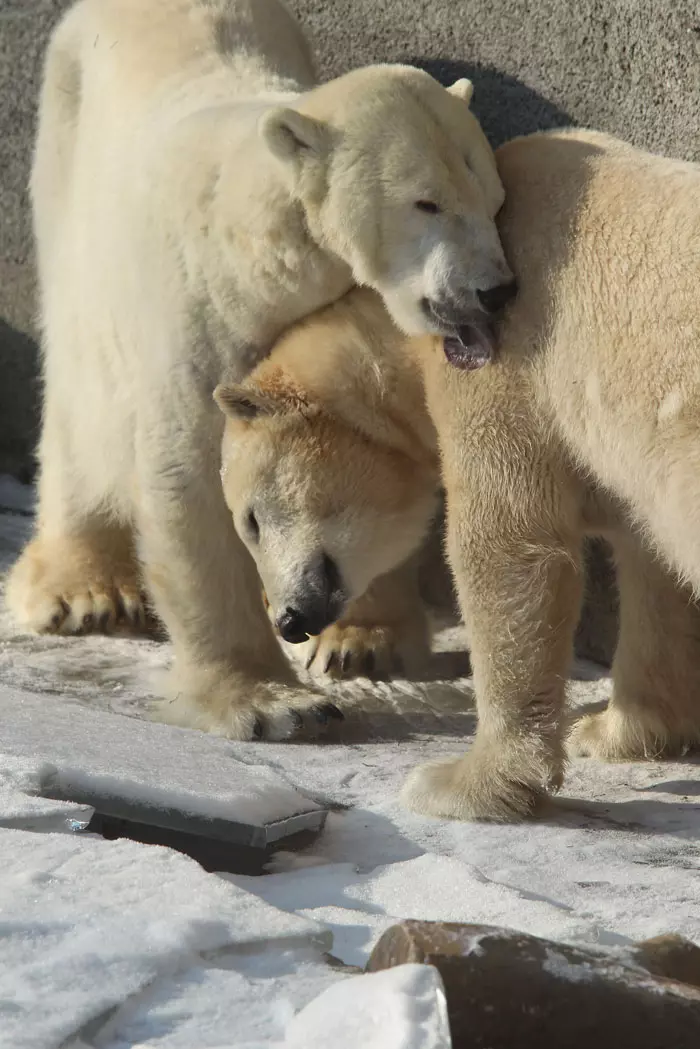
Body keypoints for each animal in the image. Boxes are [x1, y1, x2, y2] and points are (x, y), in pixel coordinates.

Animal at [2, 0, 512, 742]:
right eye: (426, 202)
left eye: (494, 199)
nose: (496, 289)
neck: (261, 250)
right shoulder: (201, 313)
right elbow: (189, 475)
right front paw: (269, 701)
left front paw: (362, 640)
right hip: (69, 163)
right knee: (78, 390)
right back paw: (83, 590)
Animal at [215, 129, 700, 818]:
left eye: (251, 520)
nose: (288, 619)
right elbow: (650, 563)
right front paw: (612, 729)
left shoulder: (506, 361)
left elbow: (508, 543)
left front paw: (461, 783)